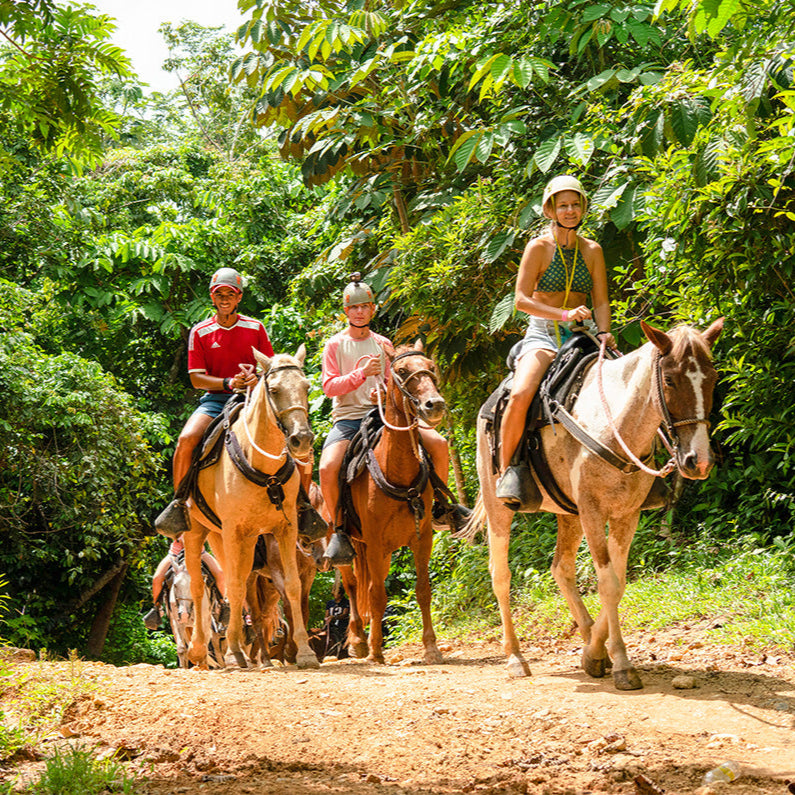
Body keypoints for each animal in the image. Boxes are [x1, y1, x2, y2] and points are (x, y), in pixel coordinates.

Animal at [182, 346, 318, 668]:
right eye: (274, 389)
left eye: (306, 388)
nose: (302, 439)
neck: (264, 468)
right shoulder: (233, 530)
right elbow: (231, 585)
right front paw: (232, 652)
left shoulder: (285, 529)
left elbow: (292, 586)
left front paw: (305, 652)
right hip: (199, 532)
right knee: (200, 586)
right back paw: (203, 650)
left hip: (231, 539)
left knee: (240, 584)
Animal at [342, 342, 450, 664]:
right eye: (401, 371)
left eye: (430, 366)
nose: (434, 404)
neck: (397, 471)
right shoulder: (375, 541)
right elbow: (377, 594)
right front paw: (376, 651)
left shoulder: (422, 537)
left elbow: (423, 590)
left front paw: (431, 648)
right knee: (352, 584)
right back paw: (358, 641)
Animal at [464, 318, 724, 692]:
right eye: (670, 380)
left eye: (713, 378)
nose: (698, 461)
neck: (614, 422)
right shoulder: (592, 511)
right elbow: (608, 583)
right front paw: (622, 665)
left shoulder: (626, 515)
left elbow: (618, 582)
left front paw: (596, 654)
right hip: (499, 505)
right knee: (501, 575)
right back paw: (515, 657)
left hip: (567, 514)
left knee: (561, 568)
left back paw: (588, 640)